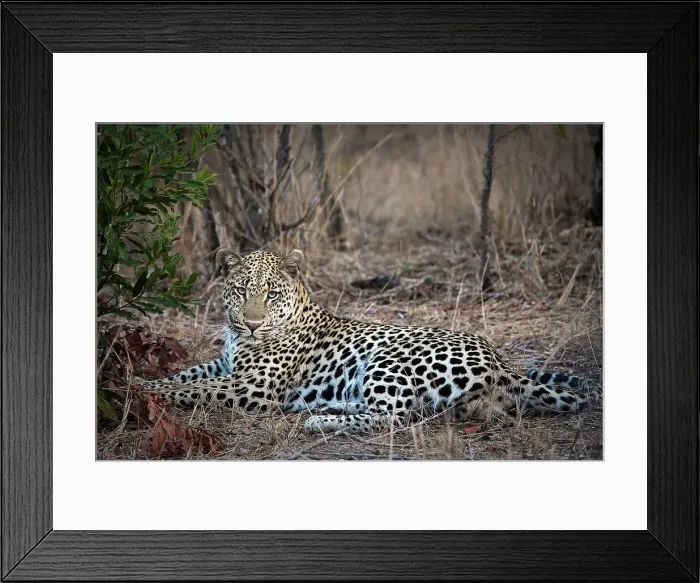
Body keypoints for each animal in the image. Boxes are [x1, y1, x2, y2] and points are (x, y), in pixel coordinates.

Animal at [138, 248, 602, 435]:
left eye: (271, 294)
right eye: (240, 290)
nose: (251, 324)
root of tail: (501, 362)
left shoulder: (253, 387)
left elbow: (196, 388)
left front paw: (138, 389)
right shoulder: (225, 365)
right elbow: (188, 375)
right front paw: (139, 381)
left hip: (388, 358)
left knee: (396, 416)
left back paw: (319, 420)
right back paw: (331, 405)